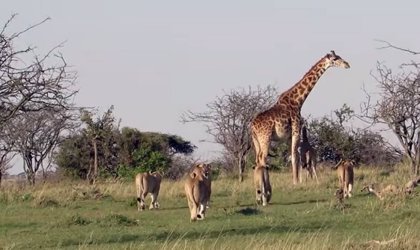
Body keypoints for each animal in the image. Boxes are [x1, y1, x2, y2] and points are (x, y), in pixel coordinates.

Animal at [251, 50, 350, 184]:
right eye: (335, 59)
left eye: (339, 56)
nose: (347, 64)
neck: (298, 101)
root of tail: (252, 126)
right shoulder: (296, 130)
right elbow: (294, 157)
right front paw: (296, 182)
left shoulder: (289, 136)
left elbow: (295, 156)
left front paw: (297, 180)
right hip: (265, 138)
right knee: (262, 158)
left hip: (256, 140)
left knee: (257, 159)